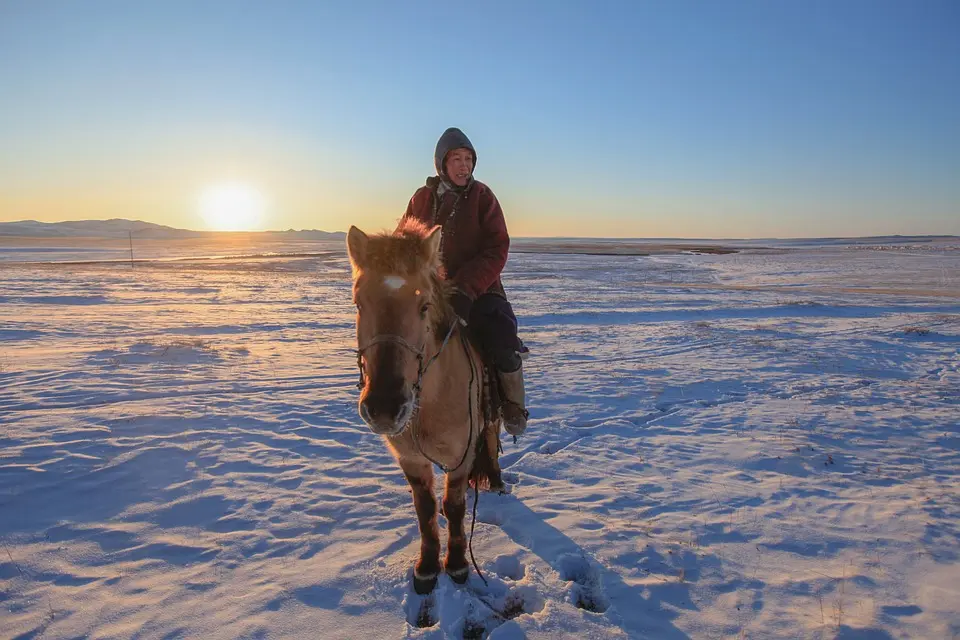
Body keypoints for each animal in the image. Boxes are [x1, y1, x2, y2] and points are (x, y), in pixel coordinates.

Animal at [348, 219, 506, 596]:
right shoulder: (411, 458)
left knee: (492, 438)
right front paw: (427, 567)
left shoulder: (461, 455)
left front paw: (459, 565)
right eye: (359, 304)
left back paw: (495, 481)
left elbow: (455, 505)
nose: (385, 407)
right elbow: (426, 508)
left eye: (424, 306)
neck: (427, 406)